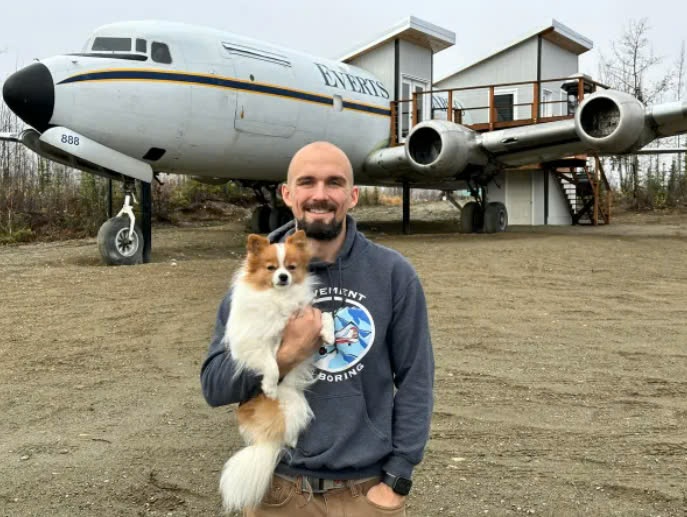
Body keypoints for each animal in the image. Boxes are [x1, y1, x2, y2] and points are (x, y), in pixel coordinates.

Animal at [216, 231, 332, 512]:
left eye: (291, 267)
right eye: (271, 268)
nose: (283, 277)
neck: (279, 298)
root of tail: (265, 441)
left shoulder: (305, 314)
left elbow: (325, 316)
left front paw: (330, 333)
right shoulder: (253, 343)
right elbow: (271, 361)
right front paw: (269, 384)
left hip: (296, 405)